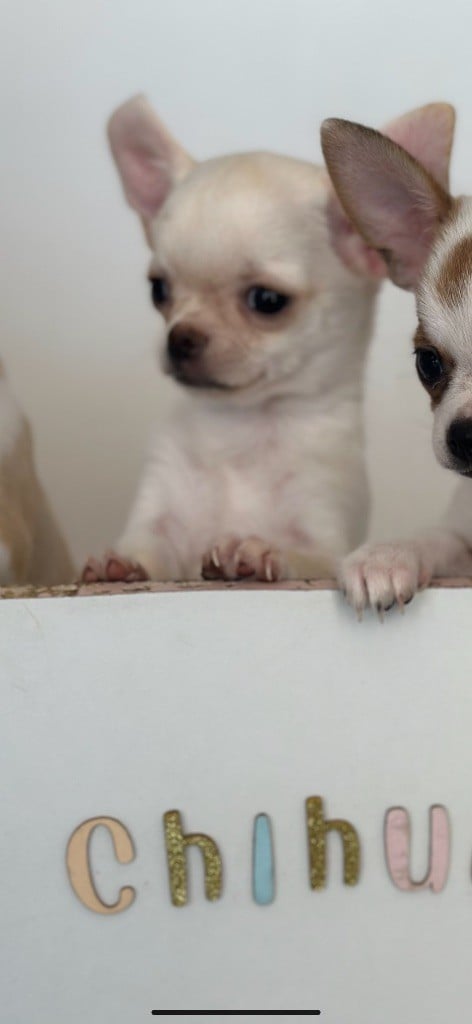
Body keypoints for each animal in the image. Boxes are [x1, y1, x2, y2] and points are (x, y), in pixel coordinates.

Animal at [83, 97, 451, 585]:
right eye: (158, 291)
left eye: (267, 300)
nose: (180, 338)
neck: (240, 433)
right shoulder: (160, 516)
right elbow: (149, 550)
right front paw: (121, 563)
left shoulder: (324, 539)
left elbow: (305, 557)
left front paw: (254, 552)